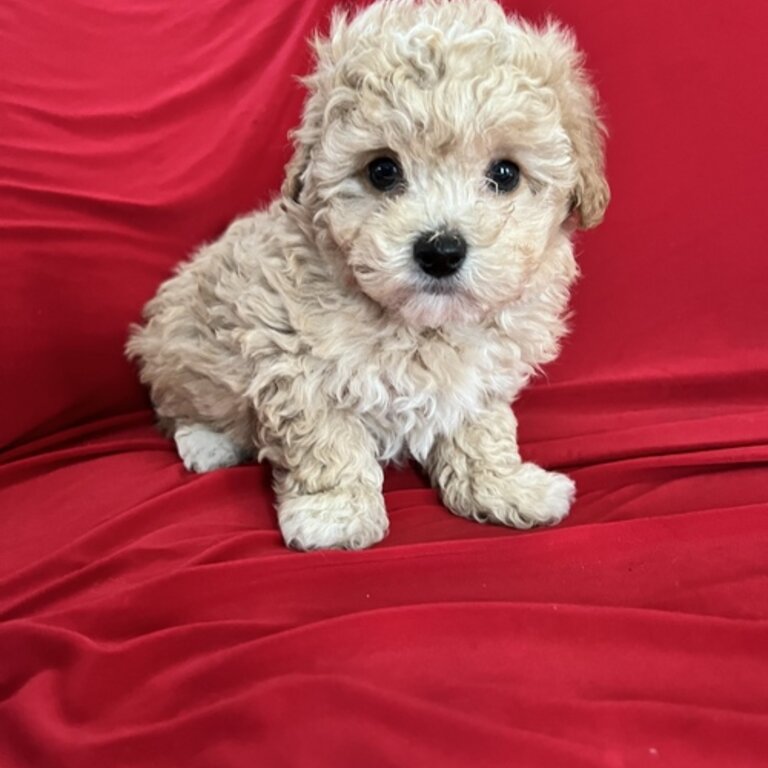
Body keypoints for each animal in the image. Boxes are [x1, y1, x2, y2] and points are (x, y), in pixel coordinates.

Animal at [126, 0, 608, 552]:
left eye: (505, 174)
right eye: (382, 171)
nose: (440, 250)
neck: (420, 326)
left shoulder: (480, 375)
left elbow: (481, 430)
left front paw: (503, 486)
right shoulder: (294, 359)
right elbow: (326, 440)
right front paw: (336, 515)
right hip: (180, 347)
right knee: (179, 407)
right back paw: (208, 442)